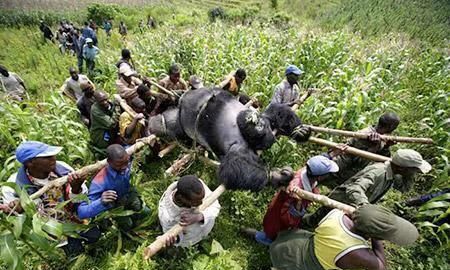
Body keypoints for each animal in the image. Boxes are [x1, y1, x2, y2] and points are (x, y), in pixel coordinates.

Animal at [148, 88, 310, 192]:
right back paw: (157, 123)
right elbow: (233, 168)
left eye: (259, 123)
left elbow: (277, 111)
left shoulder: (267, 121)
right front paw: (276, 176)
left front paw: (300, 131)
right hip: (182, 121)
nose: (256, 122)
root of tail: (182, 98)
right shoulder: (240, 145)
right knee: (169, 125)